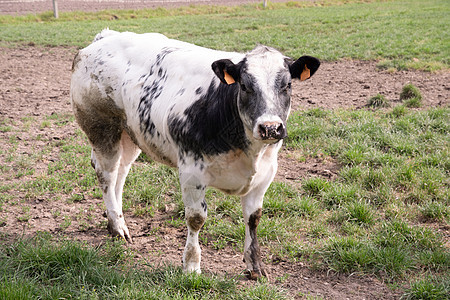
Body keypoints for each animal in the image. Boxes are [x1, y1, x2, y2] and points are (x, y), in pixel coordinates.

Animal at [70, 29, 320, 278]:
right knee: (107, 175)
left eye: (287, 85)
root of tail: (106, 36)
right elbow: (196, 219)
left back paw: (117, 222)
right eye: (245, 85)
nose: (270, 127)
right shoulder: (191, 172)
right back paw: (117, 225)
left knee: (121, 174)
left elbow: (253, 219)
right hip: (101, 128)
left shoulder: (265, 175)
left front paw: (255, 266)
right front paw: (191, 265)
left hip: (130, 133)